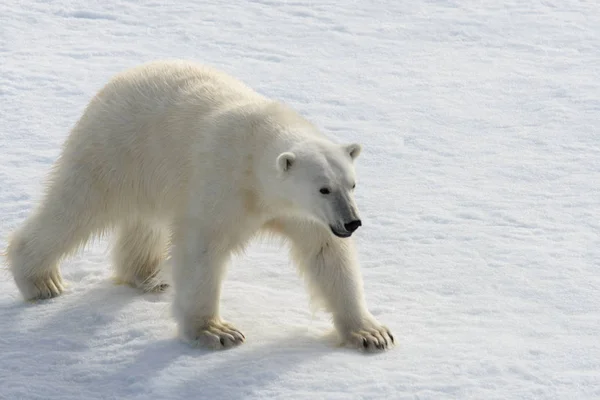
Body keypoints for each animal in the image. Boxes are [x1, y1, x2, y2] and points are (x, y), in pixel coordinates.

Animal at [7, 59, 396, 350]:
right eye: (323, 189)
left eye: (352, 184)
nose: (352, 223)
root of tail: (121, 78)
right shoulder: (222, 183)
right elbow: (202, 249)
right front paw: (216, 332)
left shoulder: (302, 215)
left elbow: (326, 255)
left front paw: (371, 333)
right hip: (117, 148)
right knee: (77, 206)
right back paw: (42, 281)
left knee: (143, 222)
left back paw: (148, 276)